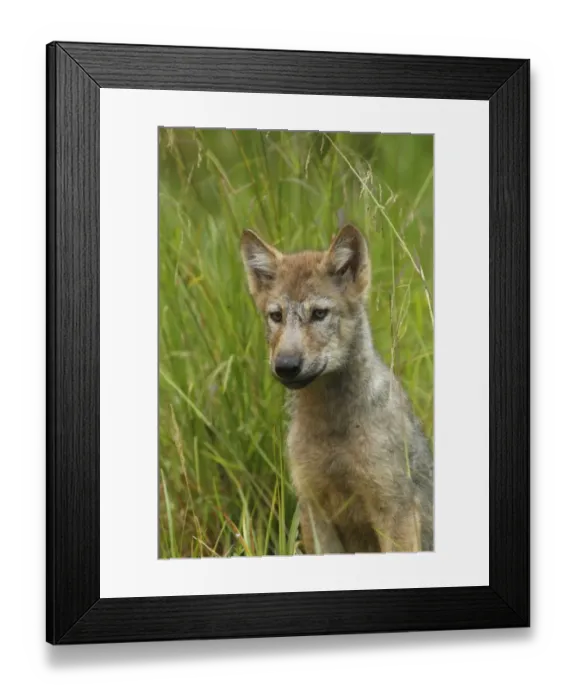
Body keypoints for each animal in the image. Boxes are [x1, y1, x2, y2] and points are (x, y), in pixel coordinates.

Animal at [240, 224, 433, 555]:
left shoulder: (394, 511)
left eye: (319, 314)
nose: (286, 365)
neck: (332, 428)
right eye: (276, 316)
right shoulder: (313, 509)